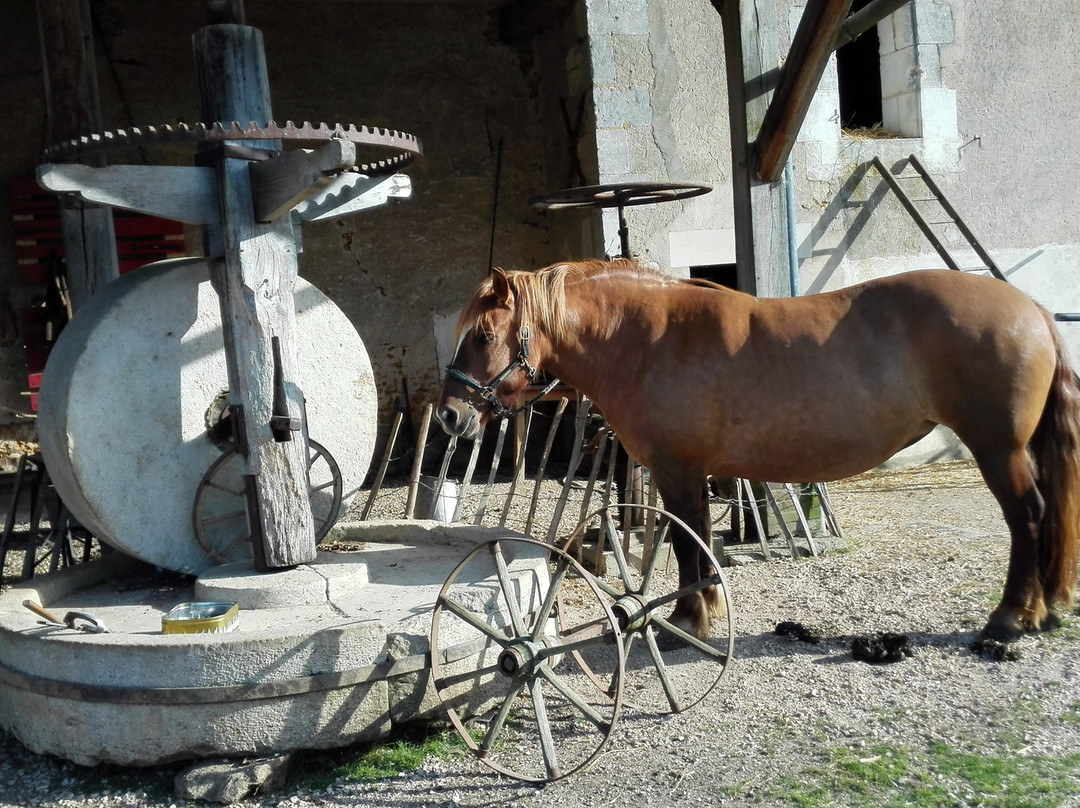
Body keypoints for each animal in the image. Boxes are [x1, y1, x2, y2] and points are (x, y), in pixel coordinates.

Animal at [432, 260, 1080, 643]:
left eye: (484, 336)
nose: (449, 414)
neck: (646, 338)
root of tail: (1032, 310)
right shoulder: (690, 472)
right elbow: (696, 541)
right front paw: (705, 609)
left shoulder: (678, 469)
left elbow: (687, 543)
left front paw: (685, 619)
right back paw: (1042, 610)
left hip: (999, 449)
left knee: (1029, 517)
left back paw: (1009, 620)